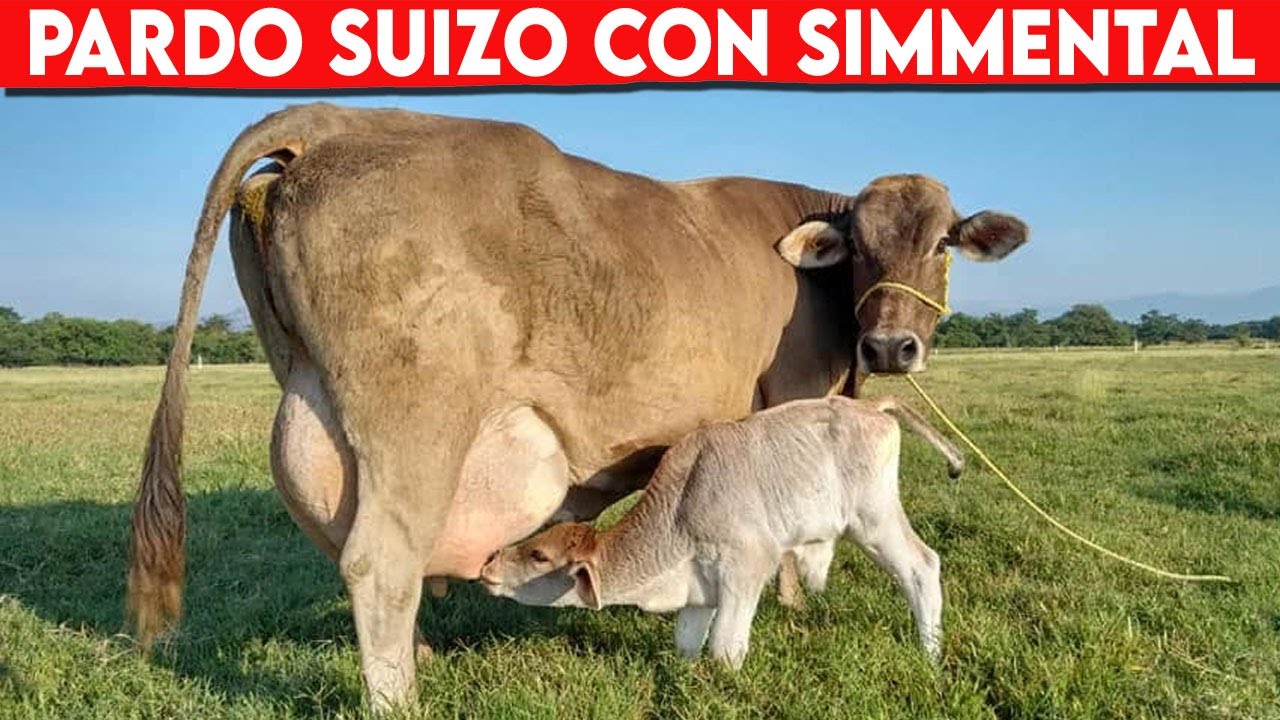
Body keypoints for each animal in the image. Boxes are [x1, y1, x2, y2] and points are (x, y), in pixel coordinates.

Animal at [126, 103, 1027, 711]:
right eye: (865, 248)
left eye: (941, 243)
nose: (890, 349)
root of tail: (337, 122)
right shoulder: (795, 396)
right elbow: (802, 540)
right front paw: (800, 602)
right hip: (416, 421)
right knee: (378, 562)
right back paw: (402, 699)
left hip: (315, 405)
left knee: (350, 542)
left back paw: (423, 657)